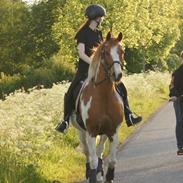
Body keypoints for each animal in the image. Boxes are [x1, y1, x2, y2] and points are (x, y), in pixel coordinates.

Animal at [71, 31, 125, 183]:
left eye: (122, 52)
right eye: (105, 52)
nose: (117, 75)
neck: (104, 96)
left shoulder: (113, 131)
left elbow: (112, 160)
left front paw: (108, 177)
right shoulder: (91, 132)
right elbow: (93, 160)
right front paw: (93, 176)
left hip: (104, 133)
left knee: (100, 152)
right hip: (82, 132)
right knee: (89, 154)